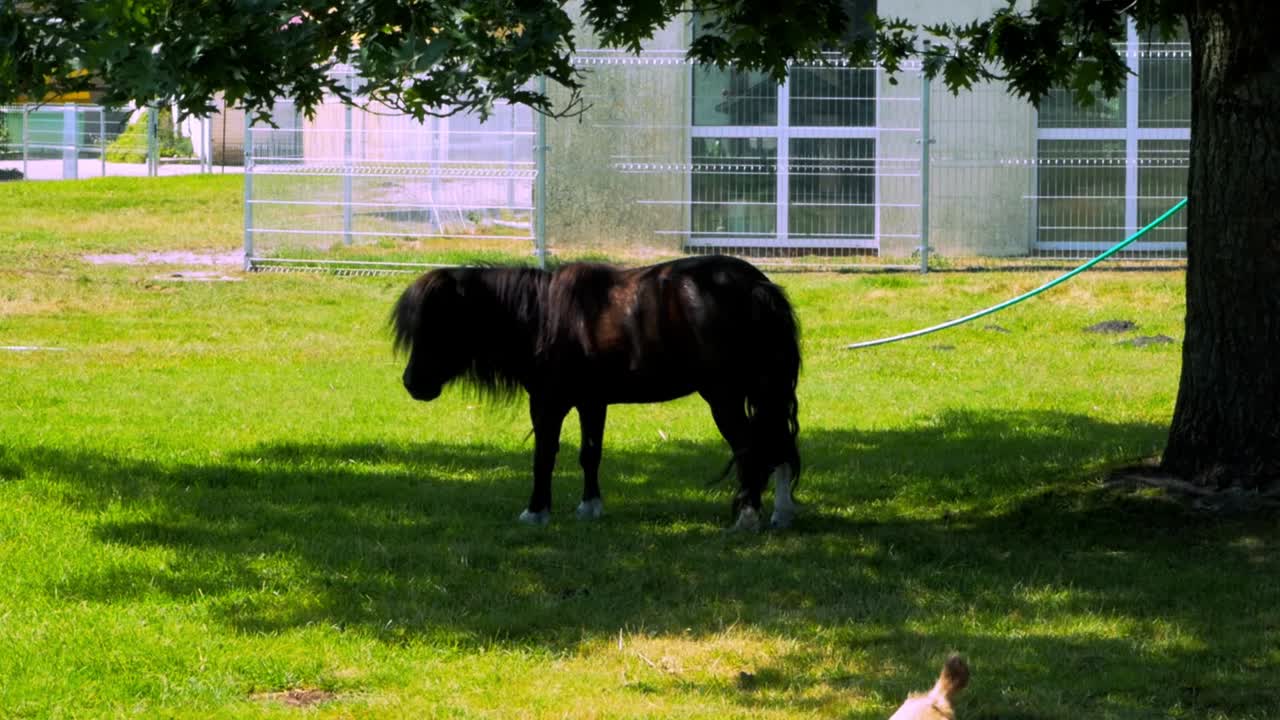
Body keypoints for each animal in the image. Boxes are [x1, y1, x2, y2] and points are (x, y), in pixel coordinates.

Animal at [391, 254, 801, 531]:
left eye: (439, 323)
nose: (412, 383)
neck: (543, 316)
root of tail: (758, 288)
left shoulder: (547, 402)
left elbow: (544, 456)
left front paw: (535, 511)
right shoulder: (592, 401)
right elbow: (590, 454)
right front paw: (589, 507)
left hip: (724, 396)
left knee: (751, 448)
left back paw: (747, 517)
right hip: (766, 390)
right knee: (778, 444)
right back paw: (780, 514)